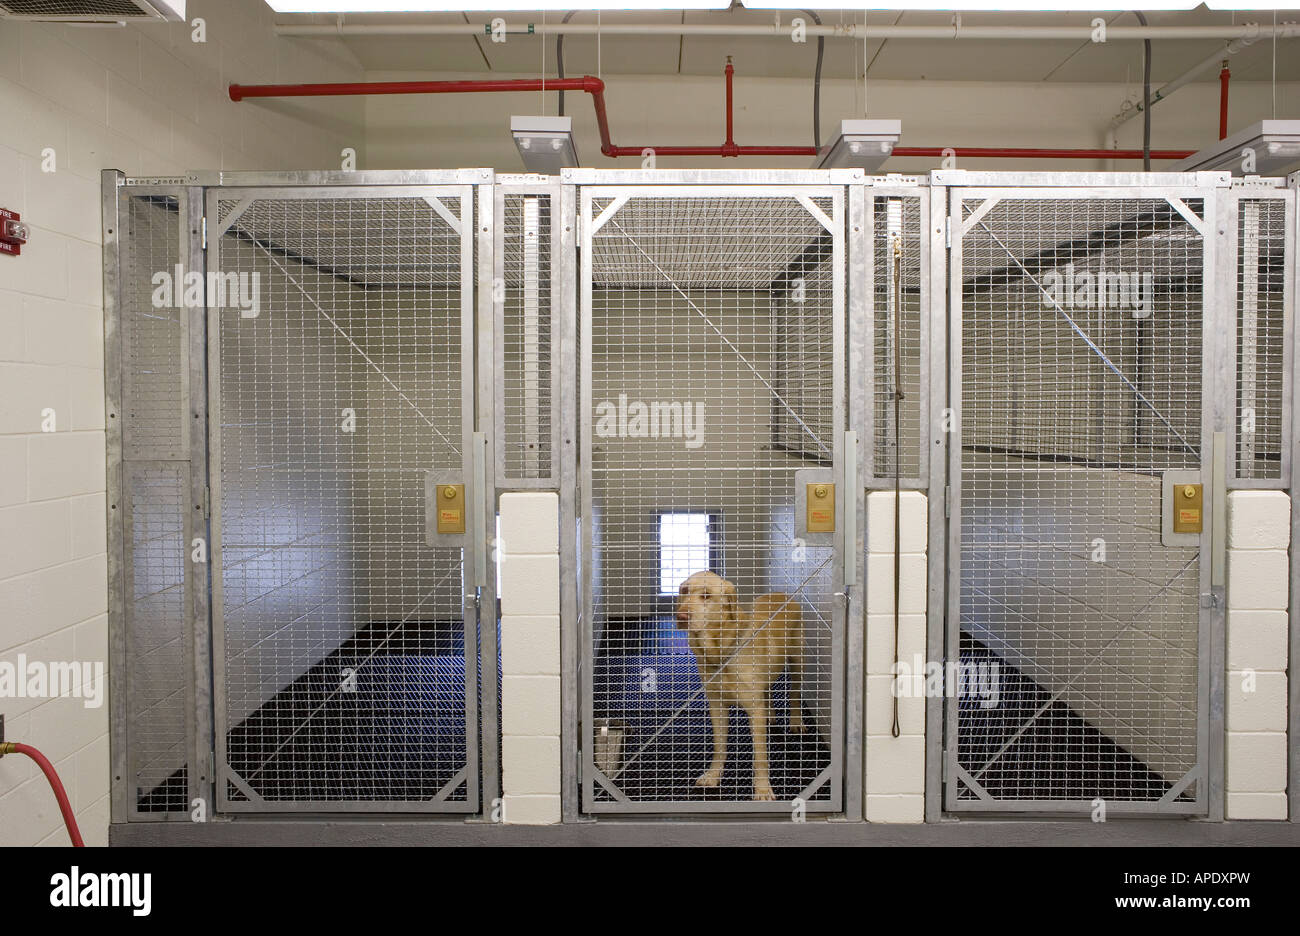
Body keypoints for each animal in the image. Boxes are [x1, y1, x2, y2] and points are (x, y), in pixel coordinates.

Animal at [681, 566, 800, 800]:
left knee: (794, 693)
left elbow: (760, 756)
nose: (681, 615)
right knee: (767, 690)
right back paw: (770, 714)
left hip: (798, 659)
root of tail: (781, 593)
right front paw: (713, 775)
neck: (720, 653)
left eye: (706, 595)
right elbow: (719, 746)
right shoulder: (717, 706)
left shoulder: (754, 710)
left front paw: (762, 788)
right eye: (684, 591)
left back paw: (796, 721)